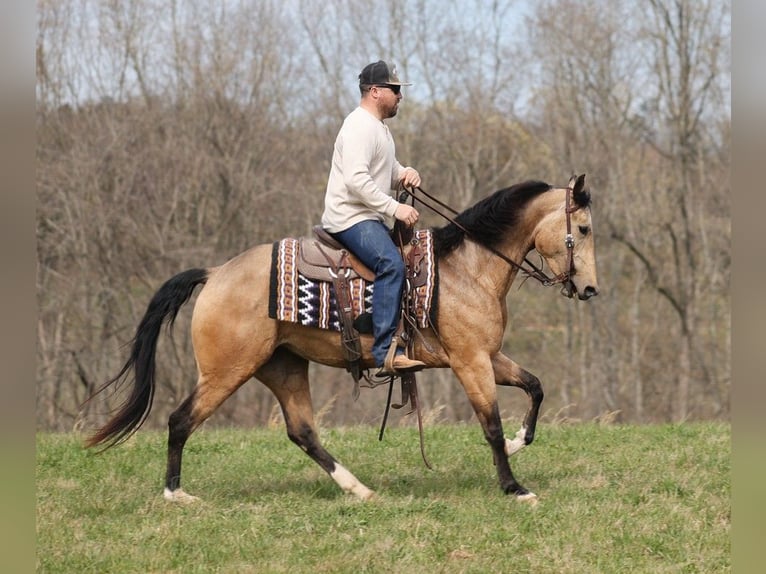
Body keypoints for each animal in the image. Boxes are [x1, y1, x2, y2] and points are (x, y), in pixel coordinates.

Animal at [84, 174, 600, 504]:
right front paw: (514, 487)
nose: (590, 289)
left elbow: (535, 387)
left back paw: (358, 489)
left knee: (303, 432)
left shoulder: (488, 356)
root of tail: (214, 274)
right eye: (584, 229)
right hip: (226, 370)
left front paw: (517, 443)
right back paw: (176, 493)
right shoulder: (470, 361)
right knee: (180, 420)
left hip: (283, 366)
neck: (468, 269)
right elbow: (489, 423)